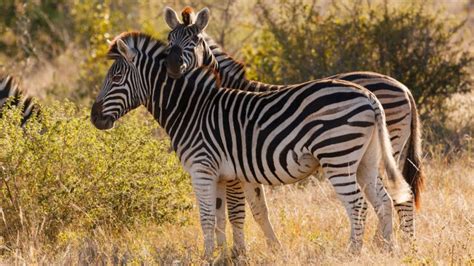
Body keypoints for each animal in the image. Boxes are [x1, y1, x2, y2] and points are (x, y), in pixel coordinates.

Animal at [91, 31, 412, 260]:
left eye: (116, 77)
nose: (94, 118)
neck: (191, 108)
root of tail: (369, 96)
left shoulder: (202, 169)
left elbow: (207, 217)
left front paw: (207, 257)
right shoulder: (222, 174)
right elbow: (222, 217)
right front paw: (222, 257)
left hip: (337, 154)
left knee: (358, 204)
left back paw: (353, 253)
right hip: (366, 159)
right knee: (384, 200)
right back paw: (389, 249)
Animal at [164, 5, 426, 251]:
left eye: (194, 41)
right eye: (169, 39)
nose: (173, 65)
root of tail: (403, 88)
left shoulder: (233, 165)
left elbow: (238, 210)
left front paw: (241, 251)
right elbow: (256, 208)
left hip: (378, 147)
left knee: (396, 197)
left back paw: (389, 243)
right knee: (397, 195)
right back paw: (400, 243)